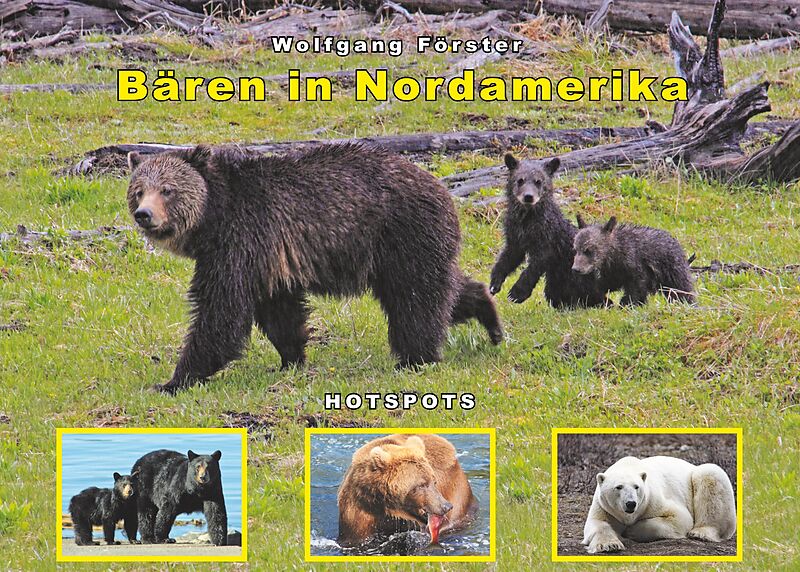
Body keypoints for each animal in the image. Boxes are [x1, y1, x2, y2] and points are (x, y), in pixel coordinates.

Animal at [126, 143, 502, 393]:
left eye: (168, 189)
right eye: (138, 190)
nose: (144, 214)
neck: (212, 217)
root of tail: (441, 187)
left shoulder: (240, 239)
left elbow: (221, 311)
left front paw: (174, 379)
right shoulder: (268, 258)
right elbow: (280, 311)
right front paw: (289, 359)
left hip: (400, 234)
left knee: (415, 300)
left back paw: (414, 358)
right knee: (443, 289)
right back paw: (489, 318)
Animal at [489, 154, 606, 308]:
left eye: (539, 181)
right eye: (520, 180)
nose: (528, 196)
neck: (527, 220)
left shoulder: (547, 237)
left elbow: (537, 263)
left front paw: (517, 293)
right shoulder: (515, 234)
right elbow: (508, 257)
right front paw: (494, 283)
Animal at [582, 455, 736, 554]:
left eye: (636, 487)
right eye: (618, 487)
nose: (631, 504)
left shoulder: (653, 500)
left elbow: (679, 518)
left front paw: (630, 531)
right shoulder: (604, 507)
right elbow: (597, 523)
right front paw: (610, 545)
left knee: (710, 474)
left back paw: (700, 533)